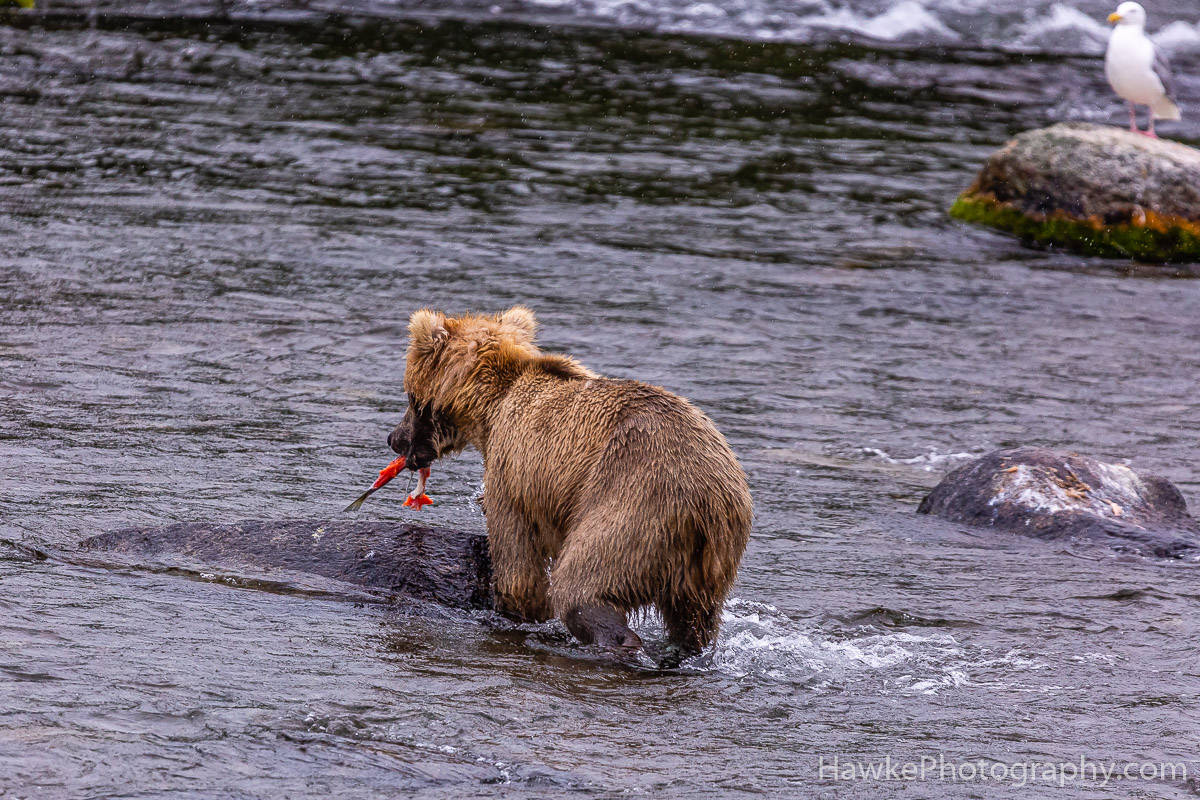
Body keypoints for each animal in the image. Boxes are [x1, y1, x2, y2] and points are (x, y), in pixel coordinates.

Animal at [388, 307, 753, 662]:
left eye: (410, 397)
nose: (394, 438)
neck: (490, 407)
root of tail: (710, 500)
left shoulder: (512, 470)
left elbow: (518, 566)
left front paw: (510, 607)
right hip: (710, 560)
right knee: (696, 620)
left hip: (635, 506)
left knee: (581, 585)